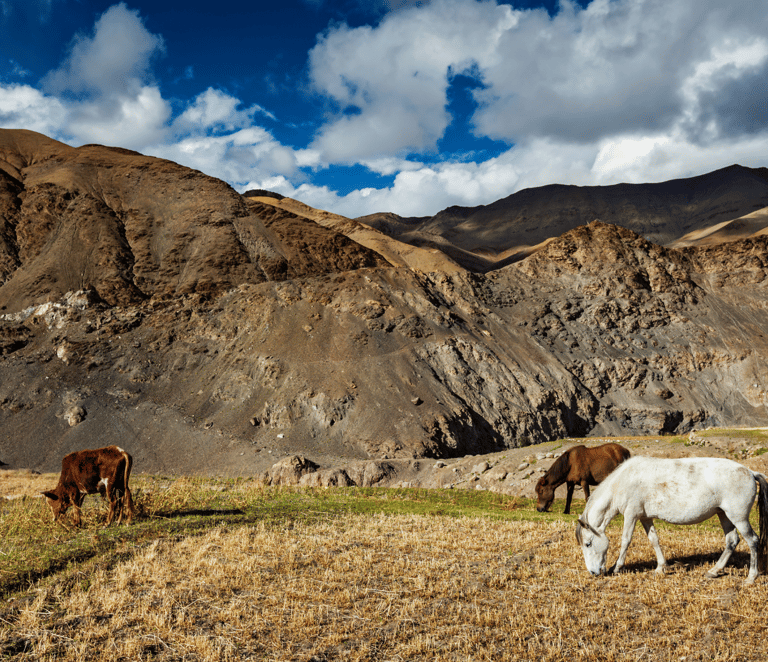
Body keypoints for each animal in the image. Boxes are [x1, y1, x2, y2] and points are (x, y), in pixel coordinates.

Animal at [576, 456, 768, 583]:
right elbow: (654, 540)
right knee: (732, 541)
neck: (623, 481)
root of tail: (750, 472)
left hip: (738, 517)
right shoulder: (645, 517)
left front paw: (617, 567)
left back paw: (751, 576)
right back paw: (714, 570)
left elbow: (625, 541)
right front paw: (661, 567)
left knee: (752, 540)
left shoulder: (631, 515)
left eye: (588, 544)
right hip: (724, 514)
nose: (593, 572)